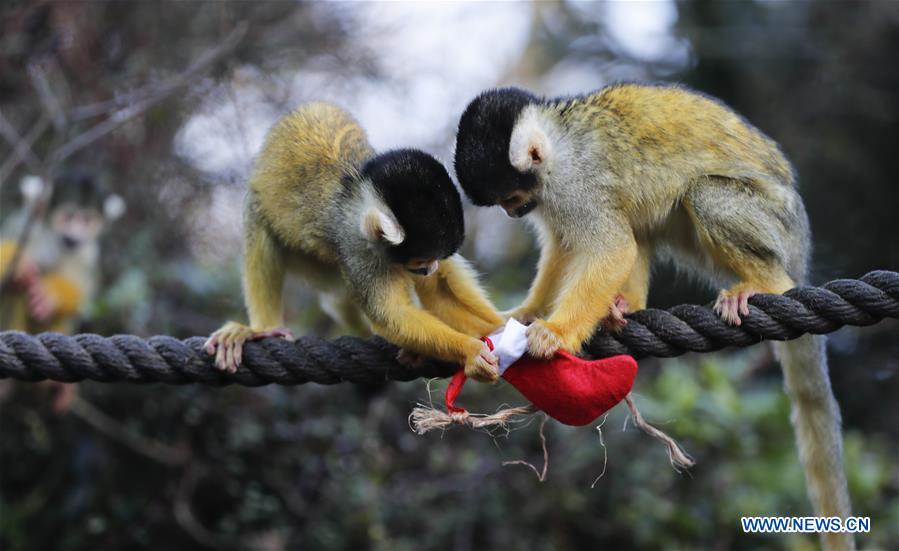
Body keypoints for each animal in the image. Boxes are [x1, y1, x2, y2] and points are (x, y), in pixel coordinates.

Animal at [206, 102, 506, 380]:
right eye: (423, 259)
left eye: (434, 258)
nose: (430, 268)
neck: (358, 196)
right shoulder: (357, 249)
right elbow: (392, 315)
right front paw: (471, 351)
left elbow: (438, 293)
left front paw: (499, 328)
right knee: (258, 215)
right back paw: (261, 329)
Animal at [454, 84, 856, 548]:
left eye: (512, 198)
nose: (511, 212)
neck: (556, 144)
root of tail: (801, 242)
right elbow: (564, 248)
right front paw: (524, 312)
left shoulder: (575, 183)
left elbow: (610, 247)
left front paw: (555, 332)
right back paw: (623, 307)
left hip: (778, 226)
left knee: (702, 195)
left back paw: (765, 283)